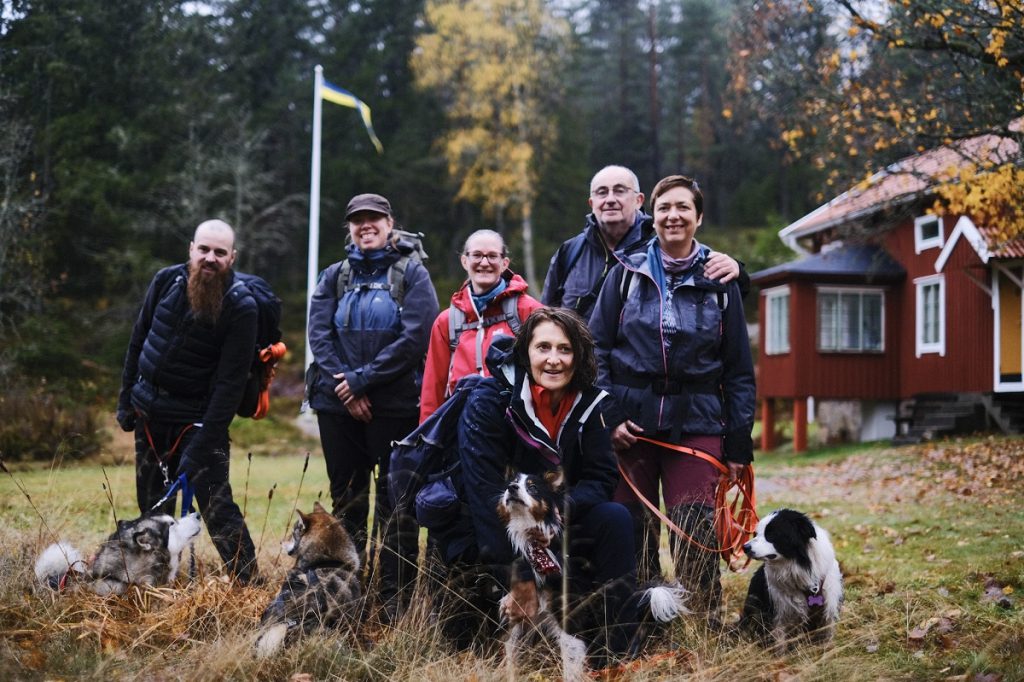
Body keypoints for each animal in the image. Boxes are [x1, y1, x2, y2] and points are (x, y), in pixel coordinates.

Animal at [497, 466, 688, 679]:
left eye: (533, 488)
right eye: (511, 483)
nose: (512, 488)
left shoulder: (569, 615)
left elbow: (571, 659)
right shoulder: (517, 613)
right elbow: (511, 653)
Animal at [741, 507, 843, 647]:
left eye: (771, 534)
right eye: (756, 534)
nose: (744, 547)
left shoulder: (830, 603)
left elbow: (828, 633)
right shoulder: (779, 611)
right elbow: (780, 642)